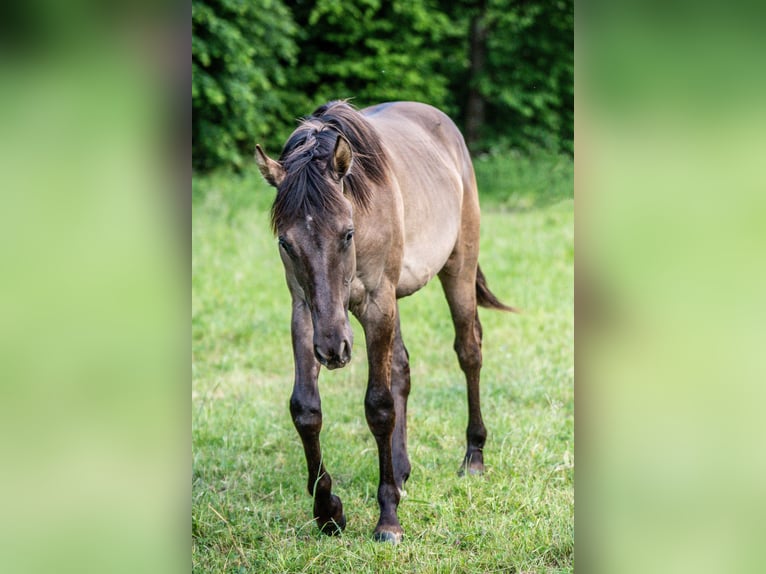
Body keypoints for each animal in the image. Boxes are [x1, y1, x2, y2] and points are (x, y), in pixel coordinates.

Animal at [256, 99, 516, 544]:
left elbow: (378, 406)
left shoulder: (377, 305)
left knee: (469, 351)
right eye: (286, 243)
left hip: (458, 268)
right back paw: (401, 470)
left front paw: (388, 520)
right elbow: (306, 409)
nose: (333, 350)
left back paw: (473, 457)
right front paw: (328, 511)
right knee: (401, 369)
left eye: (347, 233)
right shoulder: (304, 311)